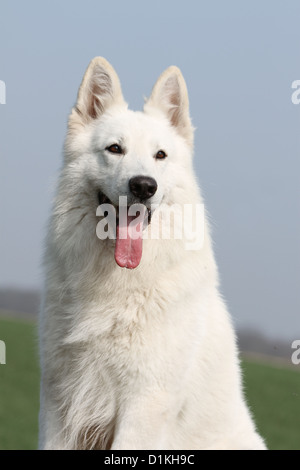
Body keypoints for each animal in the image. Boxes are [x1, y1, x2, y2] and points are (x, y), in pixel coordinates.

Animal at [38, 57, 266, 450]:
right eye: (115, 149)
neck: (116, 282)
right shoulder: (58, 406)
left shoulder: (143, 406)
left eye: (161, 155)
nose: (144, 186)